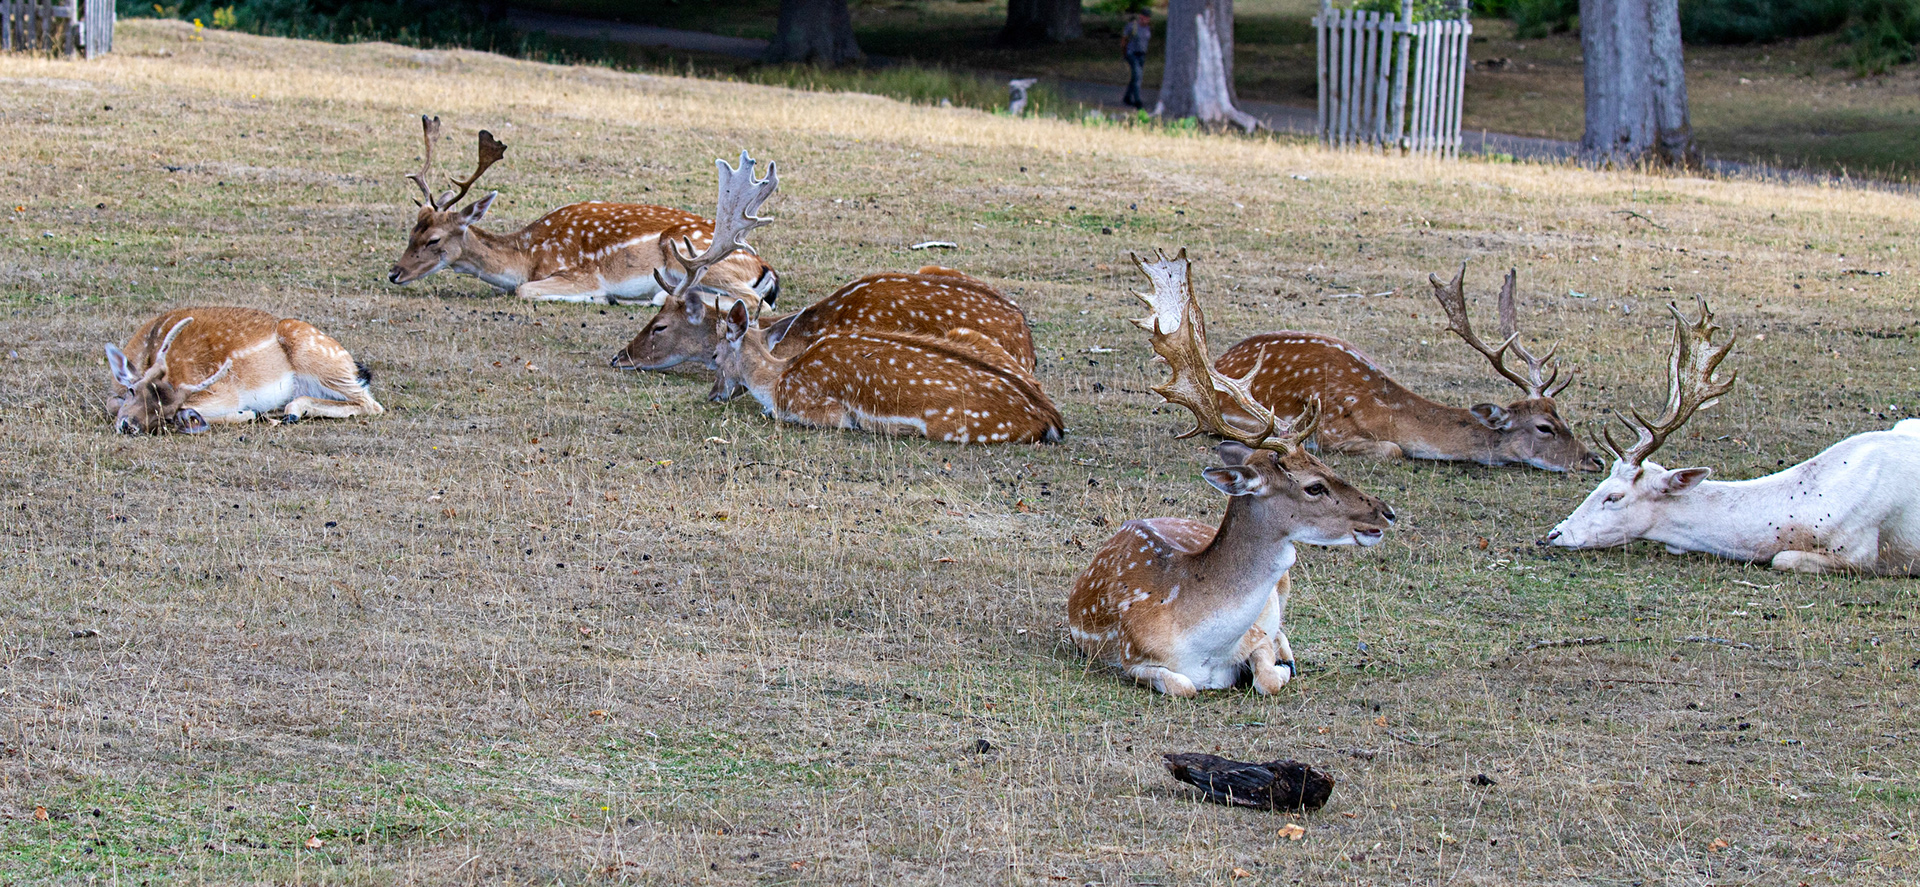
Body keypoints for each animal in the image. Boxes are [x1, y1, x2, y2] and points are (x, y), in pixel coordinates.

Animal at [104, 308, 384, 434]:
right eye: (132, 390)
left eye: (167, 415)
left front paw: (248, 413)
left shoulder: (223, 389)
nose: (129, 426)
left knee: (370, 403)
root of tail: (352, 363)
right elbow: (110, 403)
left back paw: (288, 412)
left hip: (319, 357)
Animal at [385, 116, 779, 307]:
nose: (393, 273)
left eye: (434, 239)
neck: (527, 255)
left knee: (751, 300)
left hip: (692, 259)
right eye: (411, 231)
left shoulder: (579, 273)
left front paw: (600, 296)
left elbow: (523, 290)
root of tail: (764, 267)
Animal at [1067, 251, 1395, 697]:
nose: (1386, 512)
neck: (1202, 640)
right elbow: (1184, 686)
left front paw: (1280, 666)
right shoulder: (1131, 656)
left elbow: (1268, 675)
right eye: (1314, 487)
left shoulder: (1255, 634)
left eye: (1327, 466)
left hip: (1285, 587)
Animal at [1213, 265, 1602, 472]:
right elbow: (1394, 450)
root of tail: (1220, 359)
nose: (1594, 460)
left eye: (1563, 417)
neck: (1387, 411)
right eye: (1544, 428)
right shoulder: (1331, 431)